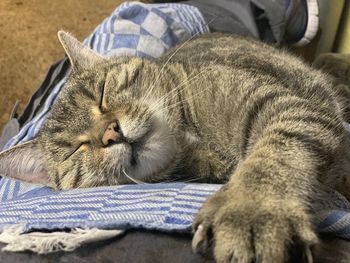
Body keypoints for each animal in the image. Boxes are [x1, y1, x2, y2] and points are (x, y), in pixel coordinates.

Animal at [0, 31, 350, 263]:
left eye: (101, 94)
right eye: (77, 148)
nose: (111, 133)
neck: (188, 138)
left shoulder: (285, 106)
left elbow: (272, 158)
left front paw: (253, 209)